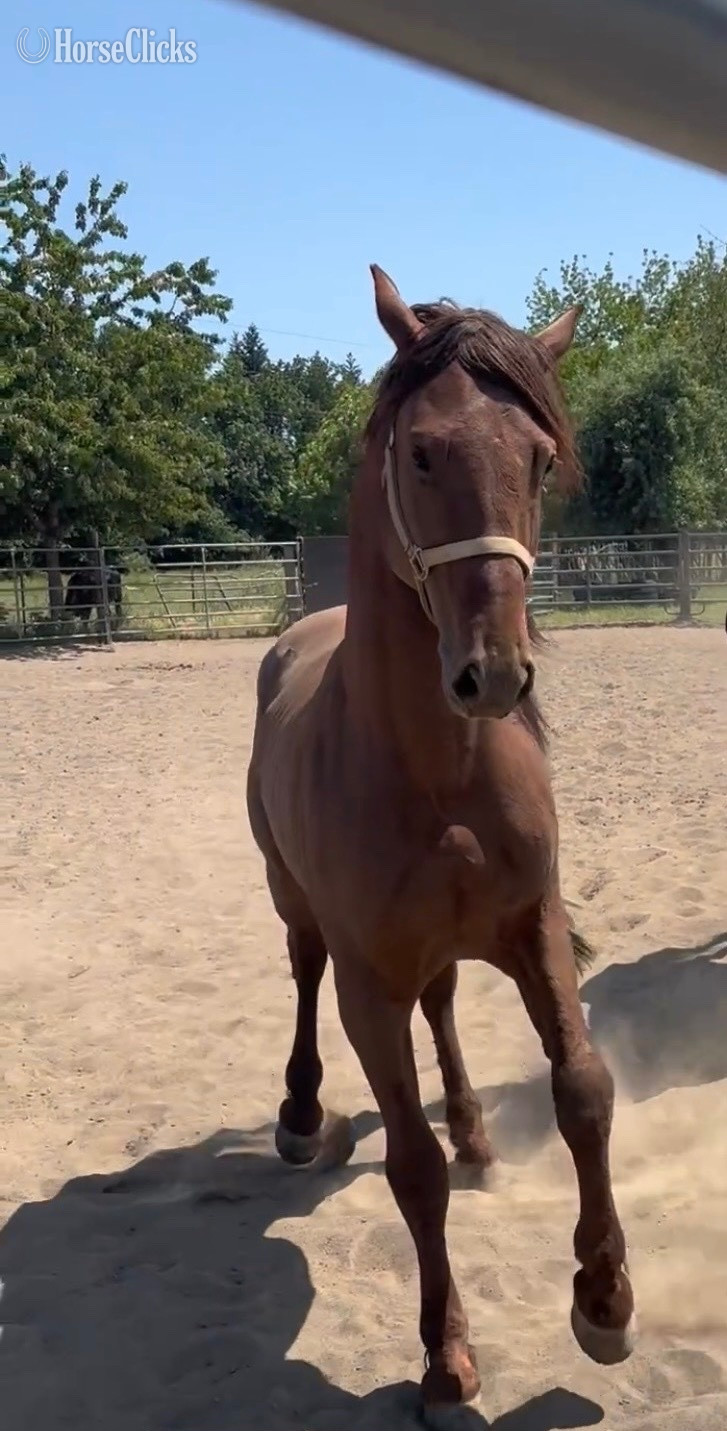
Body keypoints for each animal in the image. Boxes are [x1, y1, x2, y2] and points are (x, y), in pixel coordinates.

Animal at [246, 267, 636, 1426]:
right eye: (421, 451)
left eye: (540, 458)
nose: (493, 673)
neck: (434, 769)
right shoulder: (367, 981)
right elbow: (410, 1171)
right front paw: (445, 1359)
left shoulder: (532, 927)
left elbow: (584, 1090)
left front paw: (605, 1302)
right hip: (296, 908)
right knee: (302, 974)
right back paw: (300, 1116)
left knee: (448, 1007)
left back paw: (473, 1129)